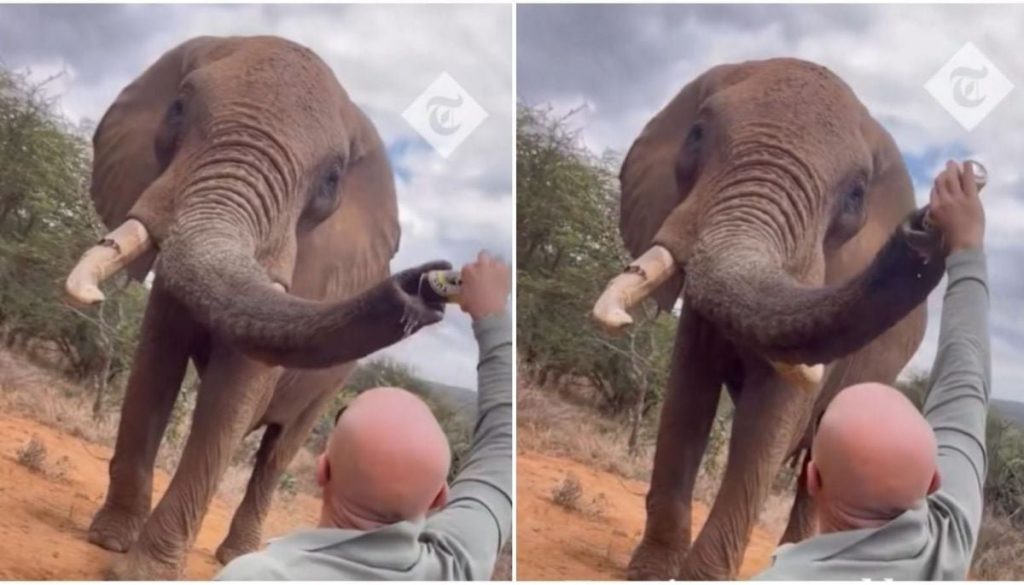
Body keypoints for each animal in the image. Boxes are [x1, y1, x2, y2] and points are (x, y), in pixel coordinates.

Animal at [63, 36, 449, 579]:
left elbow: (231, 397)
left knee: (278, 451)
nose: (425, 286)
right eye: (177, 108)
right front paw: (109, 540)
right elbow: (154, 368)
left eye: (331, 180)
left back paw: (239, 554)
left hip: (332, 384)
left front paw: (144, 572)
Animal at [592, 58, 949, 580]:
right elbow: (687, 397)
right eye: (696, 135)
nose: (926, 226)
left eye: (855, 196)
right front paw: (651, 573)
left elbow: (770, 419)